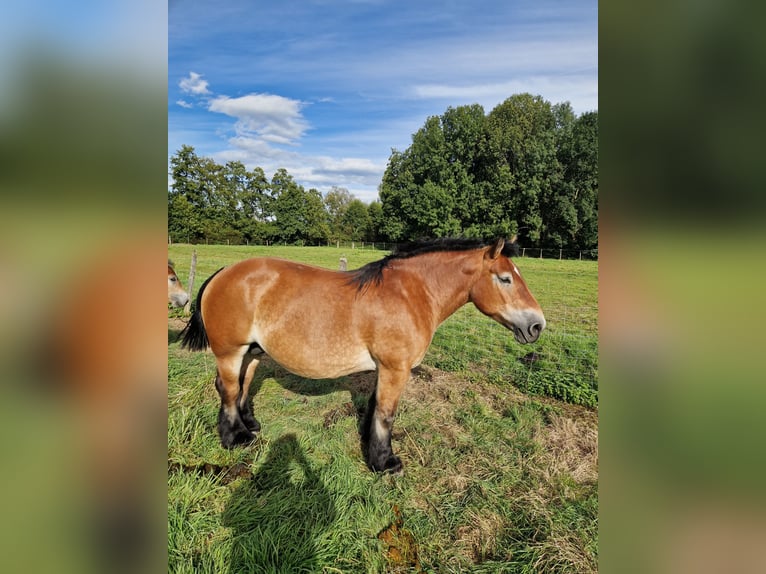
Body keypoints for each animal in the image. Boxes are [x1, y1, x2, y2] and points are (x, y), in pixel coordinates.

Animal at [182, 237, 544, 472]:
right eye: (505, 278)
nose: (537, 325)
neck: (411, 294)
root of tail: (223, 273)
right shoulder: (396, 369)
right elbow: (386, 414)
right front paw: (385, 462)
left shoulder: (383, 369)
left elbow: (373, 409)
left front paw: (371, 450)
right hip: (230, 351)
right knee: (228, 388)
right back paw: (235, 437)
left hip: (253, 351)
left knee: (243, 385)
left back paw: (250, 425)